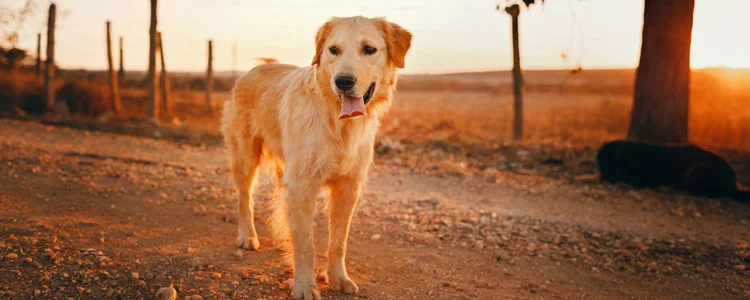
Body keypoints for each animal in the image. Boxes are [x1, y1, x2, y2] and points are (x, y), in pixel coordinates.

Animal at [220, 16, 414, 300]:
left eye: (369, 49)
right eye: (333, 50)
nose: (343, 81)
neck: (339, 123)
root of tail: (258, 67)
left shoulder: (348, 188)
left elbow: (338, 242)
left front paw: (338, 278)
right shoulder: (302, 185)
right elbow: (306, 245)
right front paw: (304, 285)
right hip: (246, 157)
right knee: (245, 199)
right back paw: (248, 236)